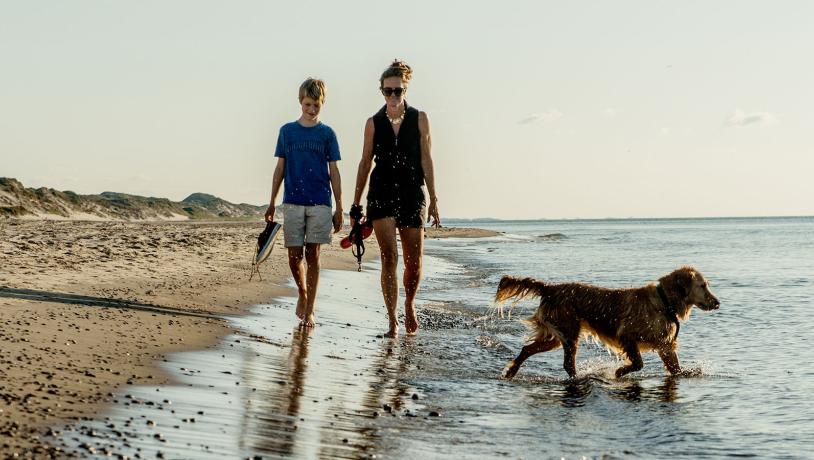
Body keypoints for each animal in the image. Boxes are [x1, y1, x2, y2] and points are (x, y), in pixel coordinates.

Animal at [498, 268, 720, 380]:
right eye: (702, 286)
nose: (717, 302)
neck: (664, 301)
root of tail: (550, 288)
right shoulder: (627, 335)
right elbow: (638, 363)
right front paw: (619, 371)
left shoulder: (664, 344)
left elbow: (675, 369)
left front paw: (687, 372)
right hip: (569, 332)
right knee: (568, 363)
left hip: (556, 335)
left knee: (527, 349)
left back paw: (511, 371)